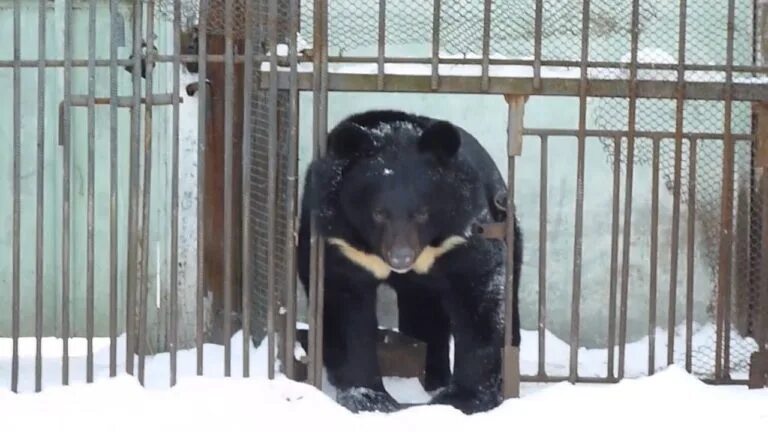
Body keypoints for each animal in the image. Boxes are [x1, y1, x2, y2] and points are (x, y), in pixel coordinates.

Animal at [294, 109, 520, 416]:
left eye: (422, 212)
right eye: (379, 213)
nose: (401, 257)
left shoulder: (461, 232)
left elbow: (479, 292)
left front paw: (463, 397)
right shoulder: (340, 240)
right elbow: (344, 308)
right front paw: (370, 398)